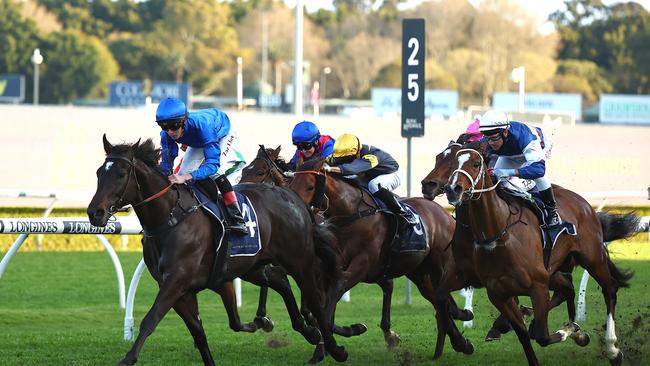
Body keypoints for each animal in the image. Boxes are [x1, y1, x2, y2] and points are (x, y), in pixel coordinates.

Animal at [90, 137, 350, 366]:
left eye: (121, 174)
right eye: (99, 173)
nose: (94, 212)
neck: (170, 218)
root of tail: (294, 198)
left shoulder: (176, 281)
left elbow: (151, 319)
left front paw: (127, 358)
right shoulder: (185, 288)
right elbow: (199, 332)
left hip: (299, 260)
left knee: (314, 301)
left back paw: (334, 348)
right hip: (251, 266)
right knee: (280, 281)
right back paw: (302, 329)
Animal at [288, 157, 470, 358]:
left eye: (310, 186)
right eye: (291, 183)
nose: (295, 208)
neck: (351, 213)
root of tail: (446, 214)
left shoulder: (362, 264)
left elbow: (335, 294)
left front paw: (336, 343)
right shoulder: (332, 267)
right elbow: (324, 305)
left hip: (438, 266)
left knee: (442, 300)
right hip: (418, 271)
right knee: (437, 300)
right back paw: (460, 340)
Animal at [438, 141, 636, 366]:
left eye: (475, 163)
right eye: (452, 163)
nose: (453, 189)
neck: (498, 235)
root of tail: (584, 203)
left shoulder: (538, 285)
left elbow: (542, 335)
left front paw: (575, 331)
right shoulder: (497, 293)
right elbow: (524, 334)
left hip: (592, 258)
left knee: (609, 289)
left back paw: (612, 349)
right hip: (557, 269)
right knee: (568, 288)